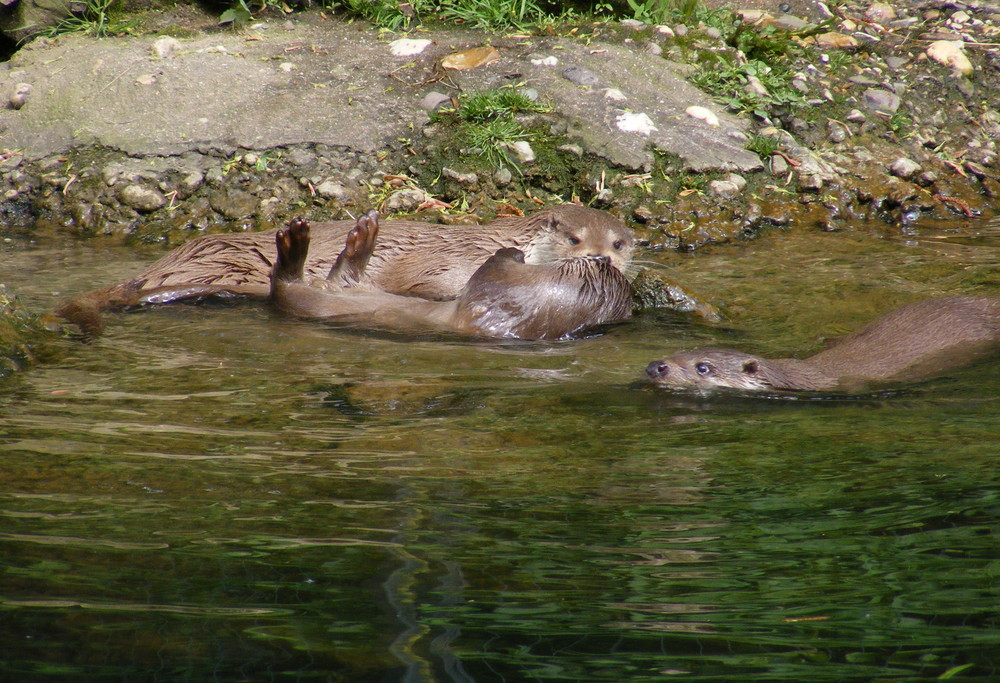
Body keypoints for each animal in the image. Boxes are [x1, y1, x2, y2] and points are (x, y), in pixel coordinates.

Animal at [272, 211, 632, 342]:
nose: (601, 256)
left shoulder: (500, 293)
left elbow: (492, 268)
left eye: (618, 244)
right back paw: (363, 236)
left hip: (301, 296)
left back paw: (295, 243)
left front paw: (511, 252)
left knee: (285, 284)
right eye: (574, 240)